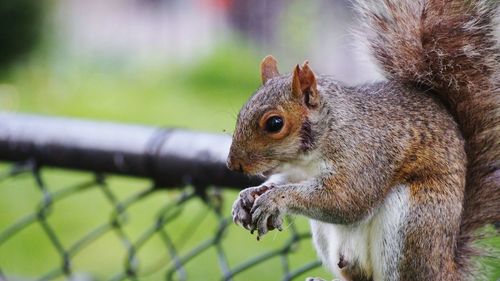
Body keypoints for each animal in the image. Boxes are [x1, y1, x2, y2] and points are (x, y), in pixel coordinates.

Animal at [228, 0, 500, 280]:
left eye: (275, 123)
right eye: (242, 112)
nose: (233, 165)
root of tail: (446, 268)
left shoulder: (365, 155)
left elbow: (346, 199)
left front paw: (275, 199)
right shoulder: (298, 172)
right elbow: (285, 181)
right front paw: (249, 195)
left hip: (412, 226)